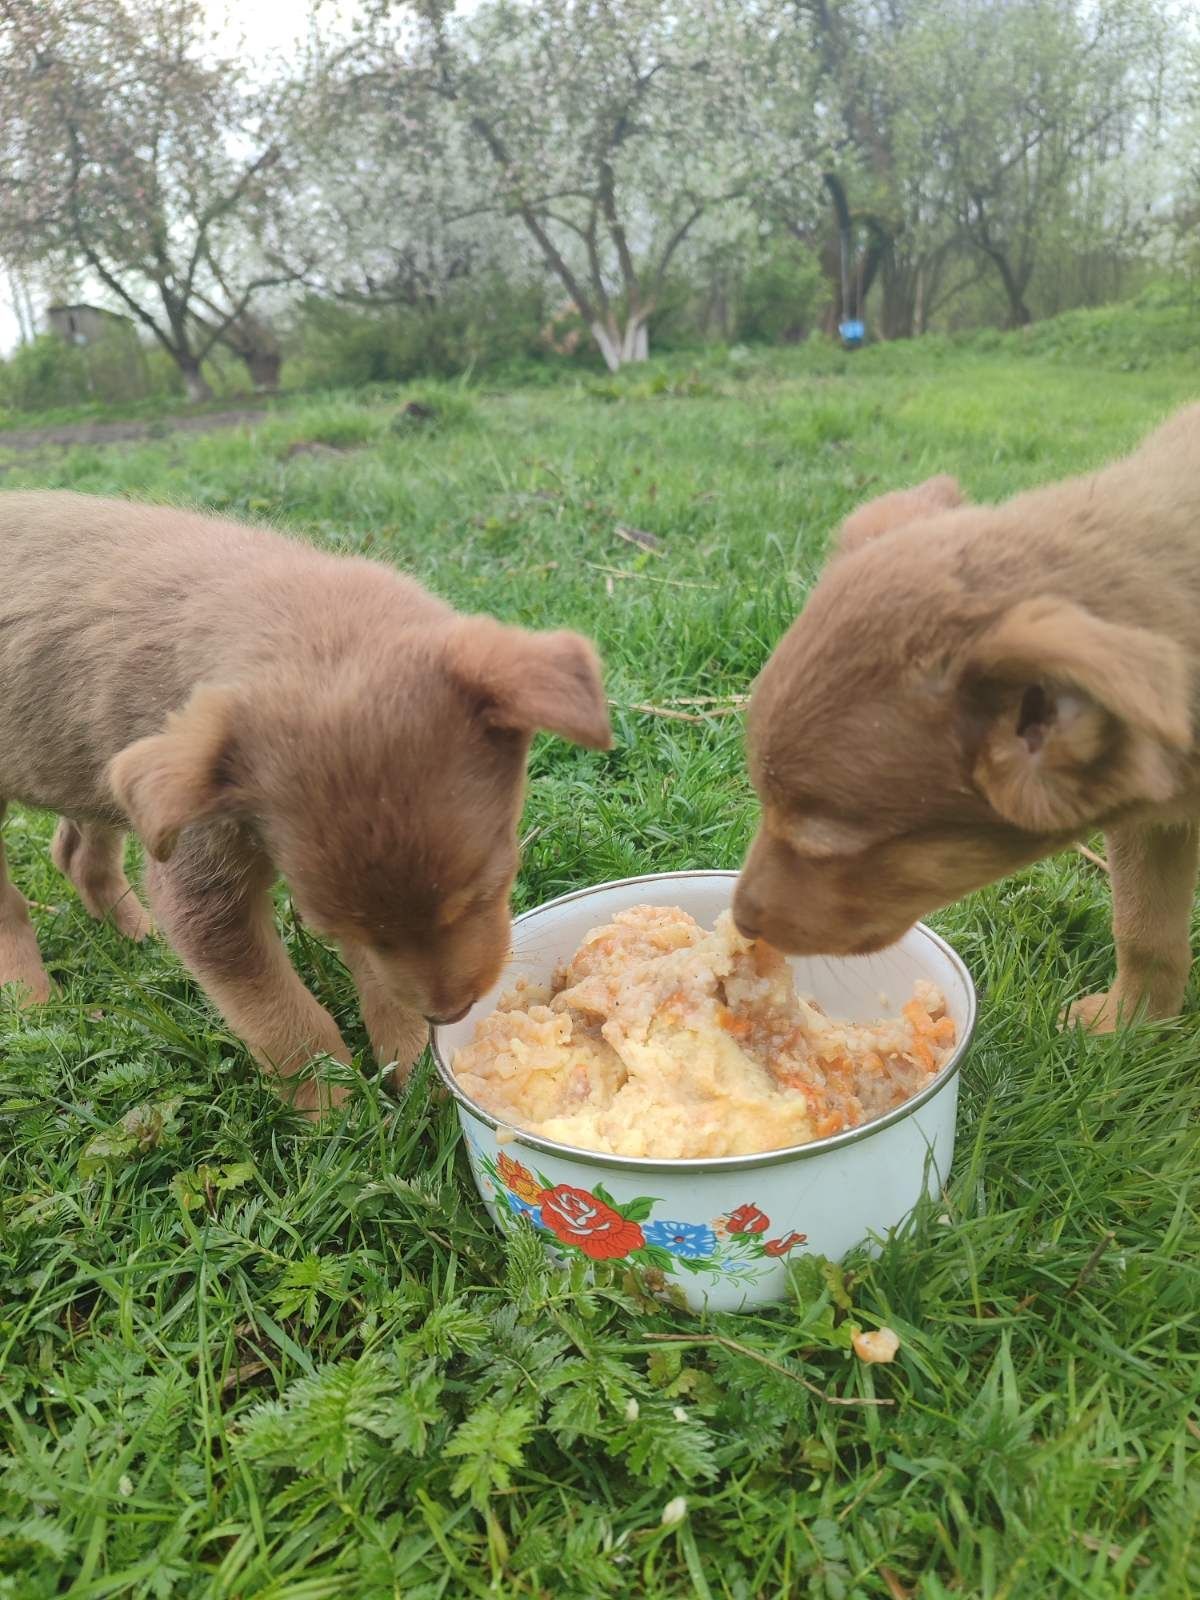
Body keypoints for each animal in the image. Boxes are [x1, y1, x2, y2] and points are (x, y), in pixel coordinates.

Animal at [0, 492, 614, 1107]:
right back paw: (30, 1002)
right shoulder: (203, 895)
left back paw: (135, 933)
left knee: (78, 855)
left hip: (95, 775)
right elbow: (282, 1017)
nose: (450, 1013)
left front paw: (414, 1071)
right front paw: (331, 1104)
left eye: (490, 888)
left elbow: (380, 990)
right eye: (335, 930)